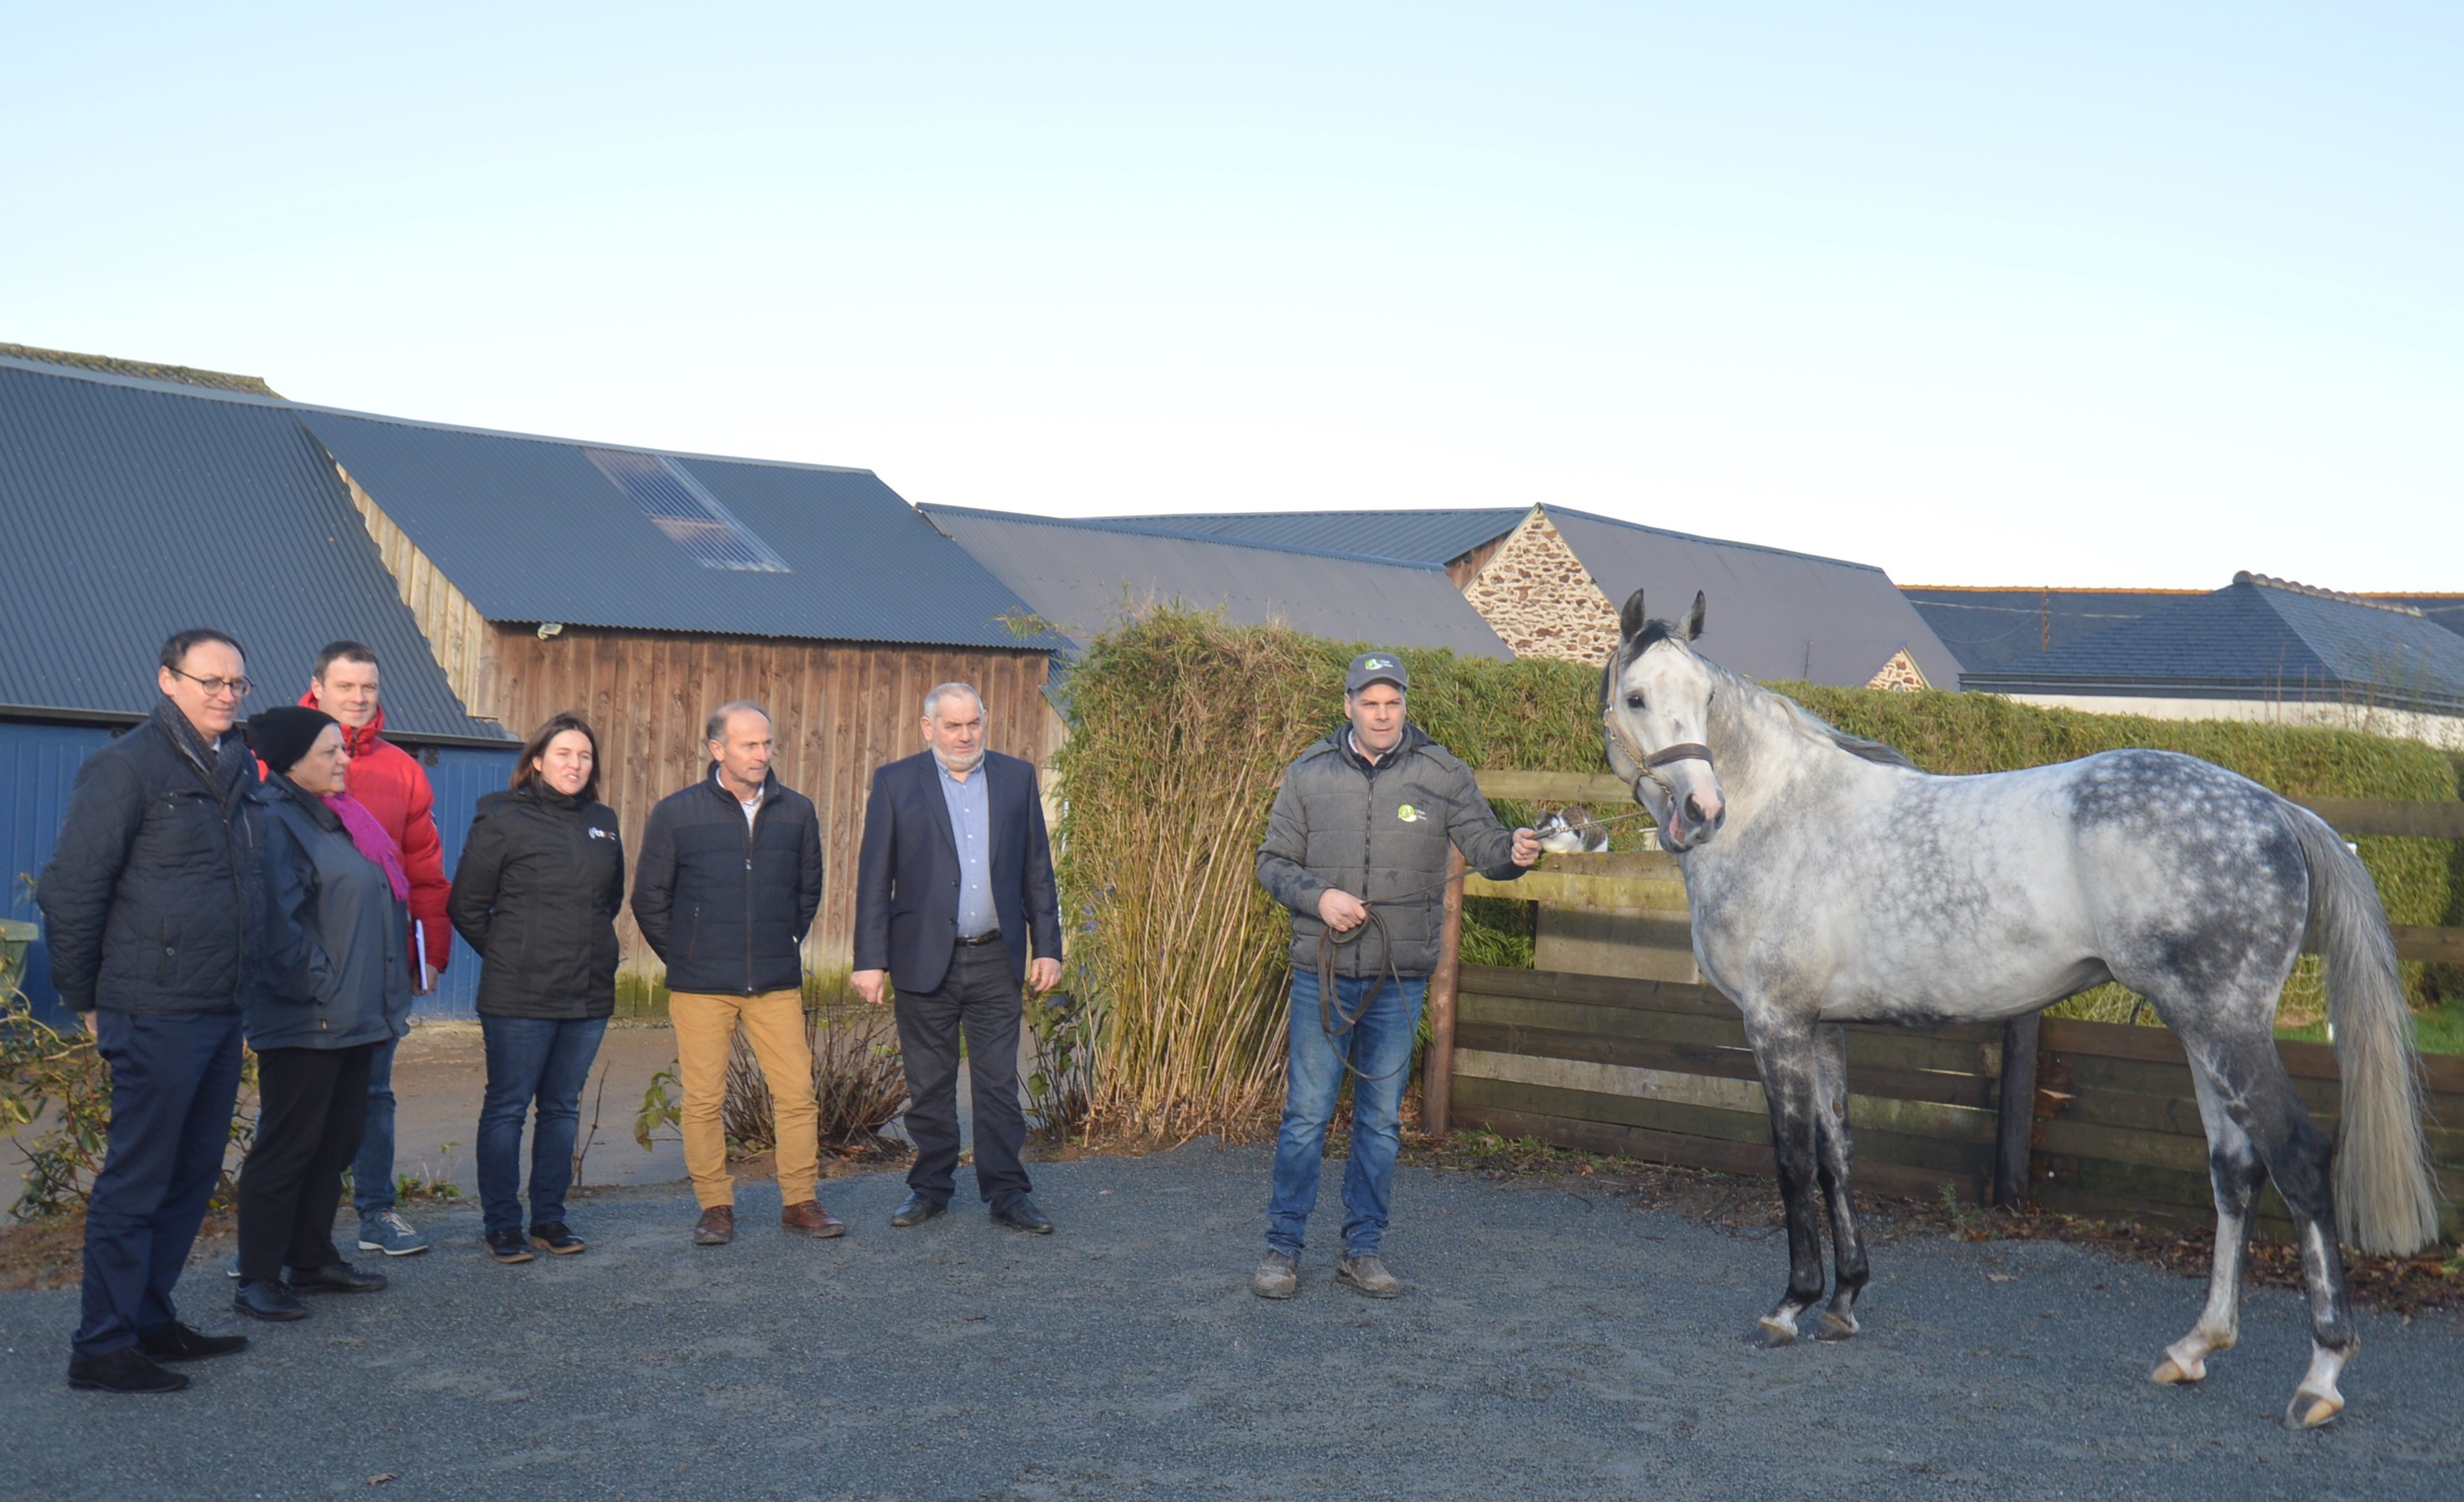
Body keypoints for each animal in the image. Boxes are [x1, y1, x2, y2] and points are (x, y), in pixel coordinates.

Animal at [1596, 586, 2444, 1427]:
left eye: (1703, 698)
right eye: (1636, 696)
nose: (1702, 809)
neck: (1781, 811)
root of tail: (2274, 807)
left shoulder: (1774, 1022)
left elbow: (1793, 1160)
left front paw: (1790, 1305)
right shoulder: (1822, 1027)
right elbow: (1838, 1155)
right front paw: (1843, 1300)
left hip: (2226, 1029)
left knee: (2295, 1158)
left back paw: (2320, 1373)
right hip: (2203, 1030)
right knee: (2233, 1169)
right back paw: (2194, 1346)